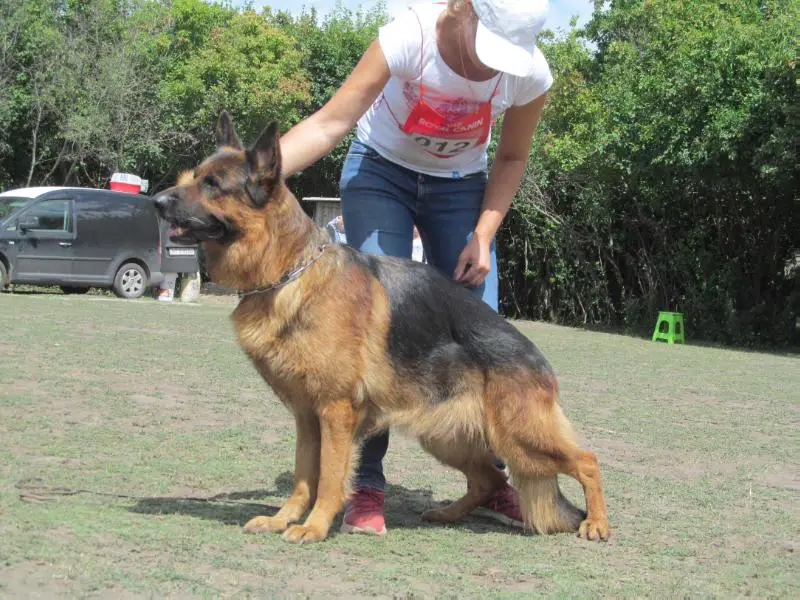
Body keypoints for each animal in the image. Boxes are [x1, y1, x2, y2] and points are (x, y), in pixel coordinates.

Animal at [152, 111, 612, 544]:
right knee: (489, 478)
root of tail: (539, 362)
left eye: (212, 184)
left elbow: (329, 478)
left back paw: (597, 523)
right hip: (450, 438)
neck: (289, 271)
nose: (156, 201)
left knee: (586, 460)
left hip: (518, 437)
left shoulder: (335, 412)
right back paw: (448, 514)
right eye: (191, 178)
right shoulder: (307, 417)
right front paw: (283, 519)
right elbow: (303, 478)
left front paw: (314, 526)